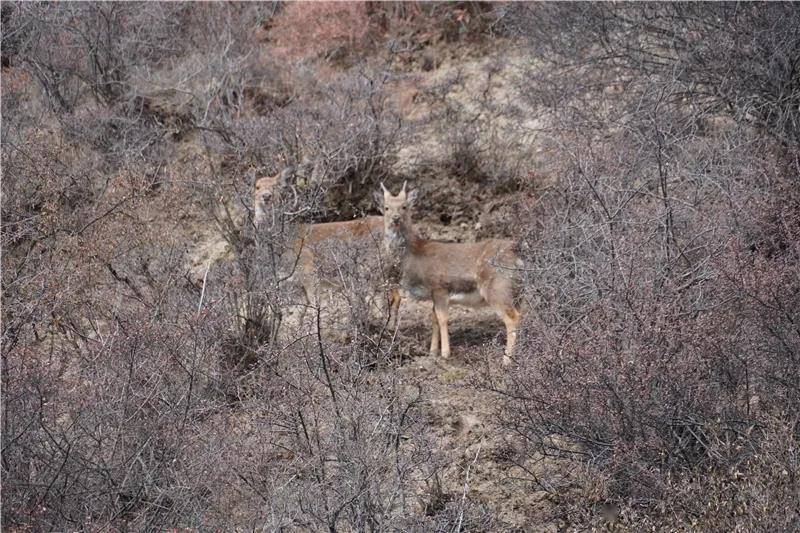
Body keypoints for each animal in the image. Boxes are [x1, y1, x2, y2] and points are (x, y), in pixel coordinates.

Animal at [253, 168, 400, 328]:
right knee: (394, 296)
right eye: (257, 187)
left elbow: (313, 305)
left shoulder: (308, 269)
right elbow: (300, 311)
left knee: (386, 297)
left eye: (276, 187)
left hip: (372, 268)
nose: (266, 196)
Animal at [376, 181, 520, 364]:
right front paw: (432, 351)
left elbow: (443, 318)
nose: (396, 218)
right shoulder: (433, 294)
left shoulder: (439, 287)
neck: (414, 258)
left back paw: (507, 360)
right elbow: (434, 319)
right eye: (386, 207)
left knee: (513, 318)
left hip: (497, 288)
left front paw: (445, 353)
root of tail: (516, 256)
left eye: (404, 206)